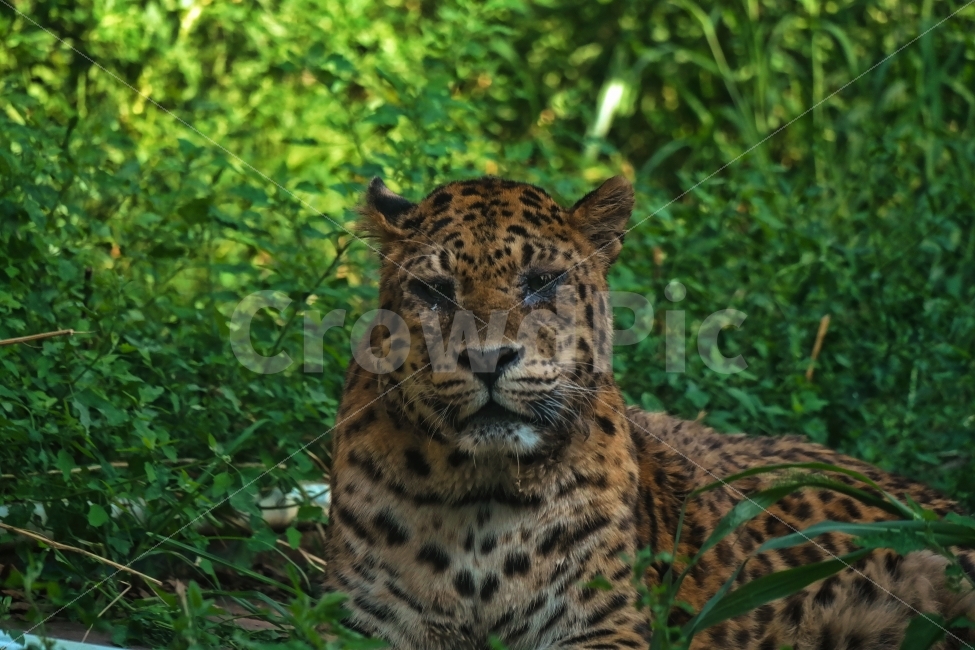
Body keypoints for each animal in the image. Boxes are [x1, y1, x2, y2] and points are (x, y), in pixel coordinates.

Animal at [322, 175, 975, 650]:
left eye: (541, 282)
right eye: (435, 291)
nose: (486, 358)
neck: (479, 495)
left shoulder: (604, 627)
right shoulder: (364, 624)